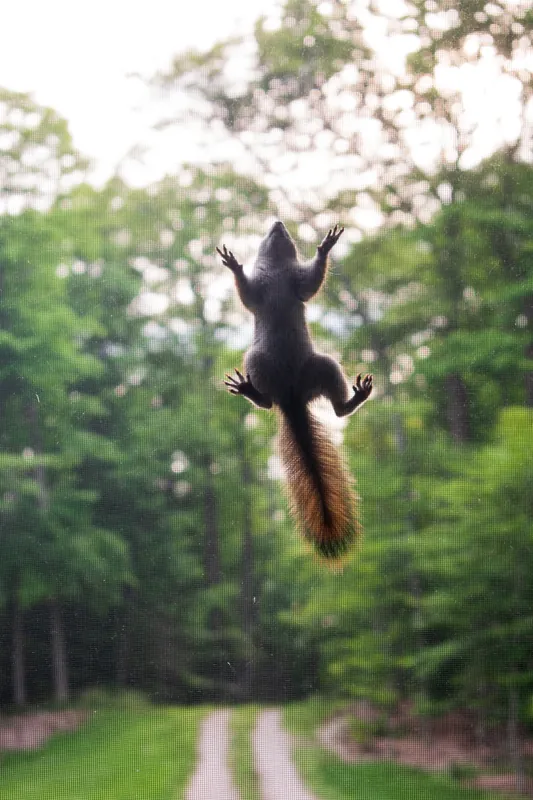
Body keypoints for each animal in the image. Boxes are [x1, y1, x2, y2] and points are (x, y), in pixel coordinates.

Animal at [217, 221, 372, 558]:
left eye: (285, 233)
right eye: (268, 234)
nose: (278, 223)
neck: (277, 268)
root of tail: (291, 397)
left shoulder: (297, 282)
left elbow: (311, 283)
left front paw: (326, 247)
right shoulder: (260, 289)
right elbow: (247, 295)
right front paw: (234, 264)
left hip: (323, 367)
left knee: (337, 409)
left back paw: (356, 397)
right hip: (258, 361)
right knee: (266, 403)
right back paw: (250, 390)